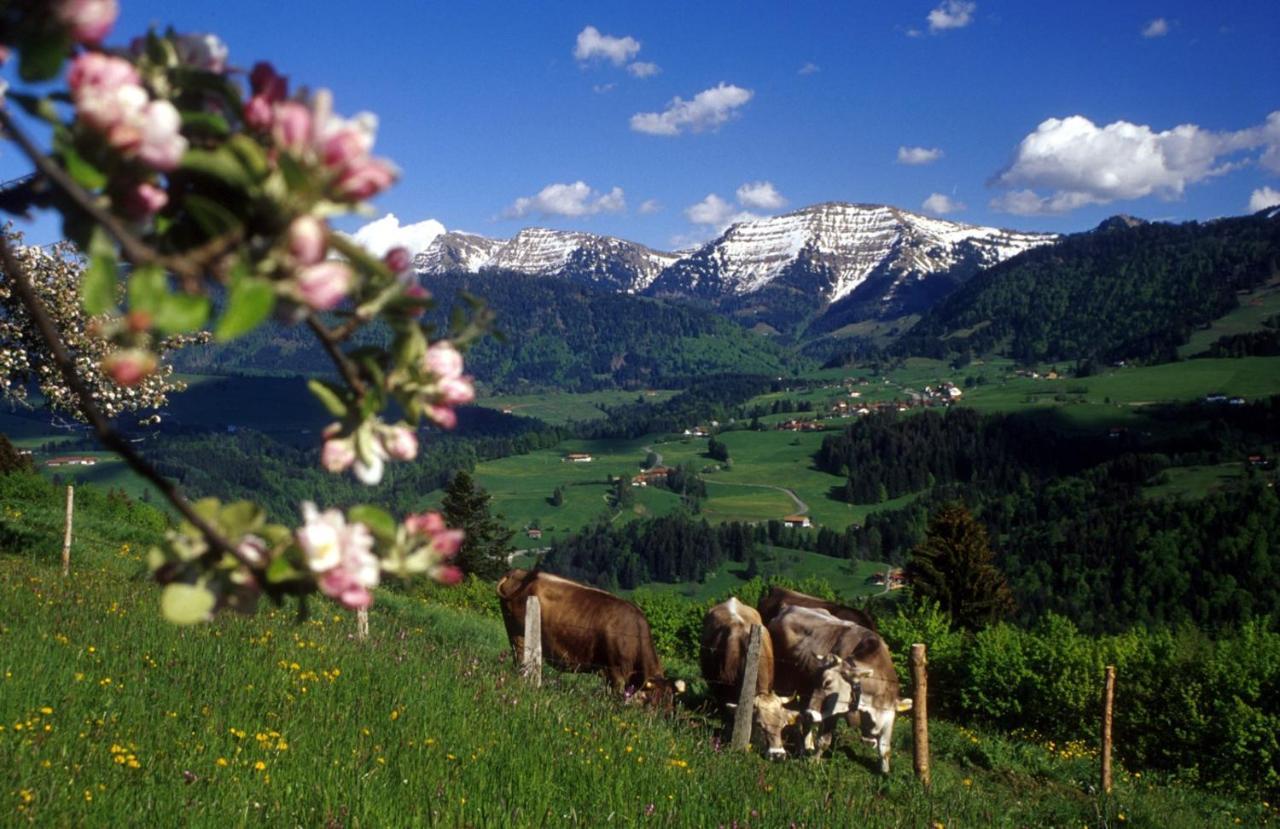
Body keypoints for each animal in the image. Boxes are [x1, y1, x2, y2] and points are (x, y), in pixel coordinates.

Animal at [494, 565, 686, 711]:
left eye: (670, 706)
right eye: (653, 704)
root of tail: (518, 572)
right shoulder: (616, 673)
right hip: (519, 634)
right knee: (521, 660)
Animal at [762, 601, 916, 772]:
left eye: (827, 682)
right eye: (818, 680)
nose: (810, 713)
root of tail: (787, 607)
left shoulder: (888, 714)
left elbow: (885, 749)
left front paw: (885, 772)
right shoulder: (832, 711)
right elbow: (824, 740)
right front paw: (814, 763)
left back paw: (807, 745)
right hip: (786, 682)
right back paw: (801, 748)